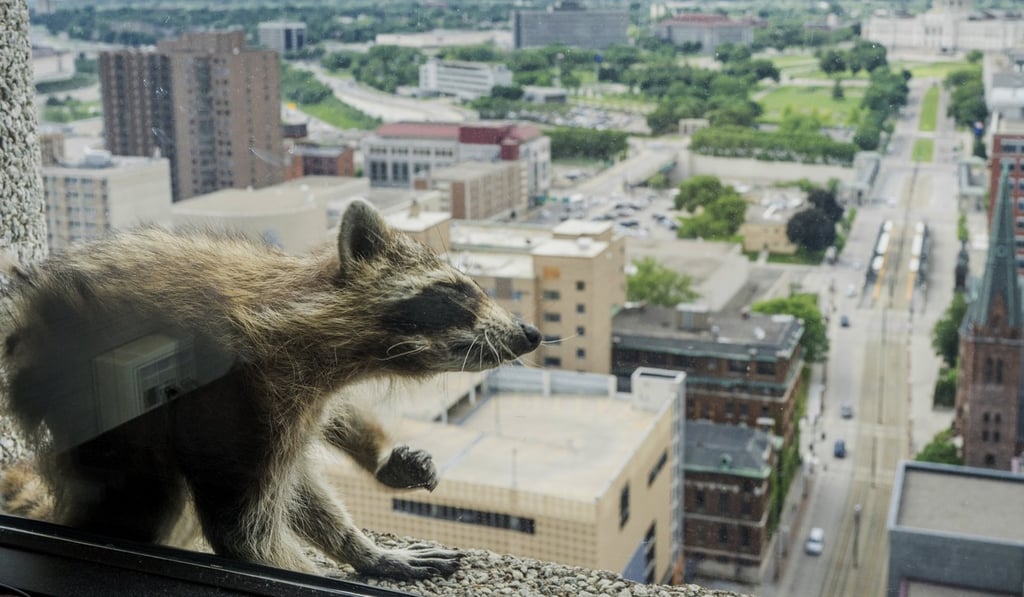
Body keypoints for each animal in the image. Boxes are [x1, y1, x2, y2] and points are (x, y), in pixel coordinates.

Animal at [0, 199, 541, 578]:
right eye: (456, 290)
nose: (530, 334)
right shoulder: (237, 392)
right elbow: (244, 533)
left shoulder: (300, 395)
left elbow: (306, 473)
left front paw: (363, 536)